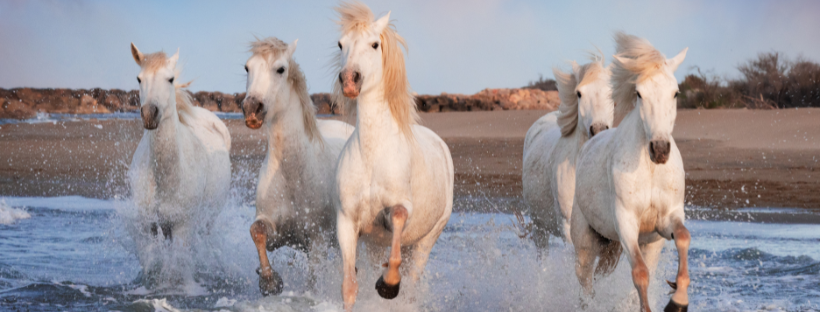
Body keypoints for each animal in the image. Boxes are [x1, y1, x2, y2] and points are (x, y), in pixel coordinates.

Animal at [239, 37, 350, 296]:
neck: (293, 174)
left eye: (280, 69)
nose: (251, 109)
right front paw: (269, 281)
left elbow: (313, 281)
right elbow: (257, 232)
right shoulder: (278, 233)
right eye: (247, 68)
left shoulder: (318, 241)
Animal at [330, 1, 452, 310]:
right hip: (375, 244)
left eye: (374, 44)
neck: (372, 155)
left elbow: (397, 217)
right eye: (341, 44)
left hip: (426, 241)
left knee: (413, 282)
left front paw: (388, 285)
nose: (349, 80)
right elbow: (349, 286)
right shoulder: (347, 222)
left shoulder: (401, 207)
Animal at [572, 32, 692, 312]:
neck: (650, 170)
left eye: (675, 93)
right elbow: (639, 273)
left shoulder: (667, 219)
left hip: (636, 246)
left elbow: (683, 237)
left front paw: (678, 301)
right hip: (586, 244)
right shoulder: (626, 223)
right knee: (585, 281)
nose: (660, 149)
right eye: (639, 93)